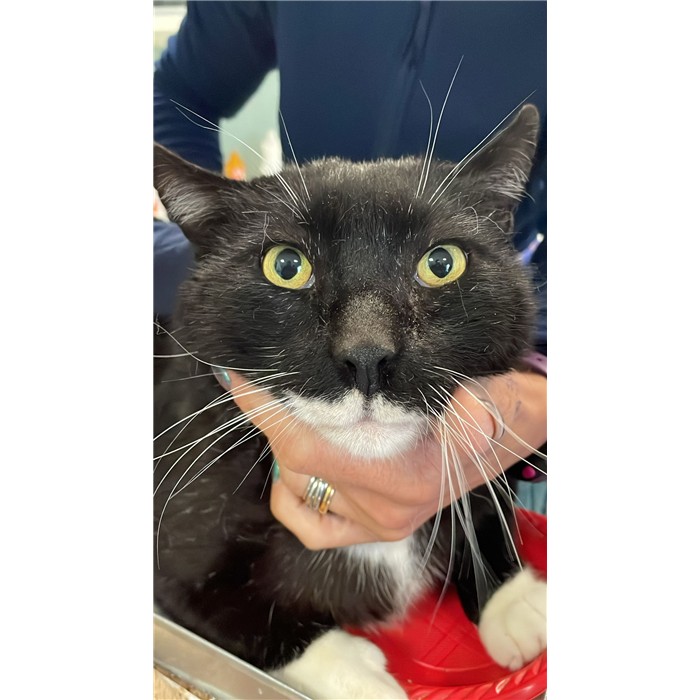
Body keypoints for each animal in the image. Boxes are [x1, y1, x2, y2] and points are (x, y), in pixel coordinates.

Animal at [153, 103, 546, 699]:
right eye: (285, 265)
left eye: (442, 263)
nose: (366, 355)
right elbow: (239, 617)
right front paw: (359, 675)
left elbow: (484, 498)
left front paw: (516, 602)